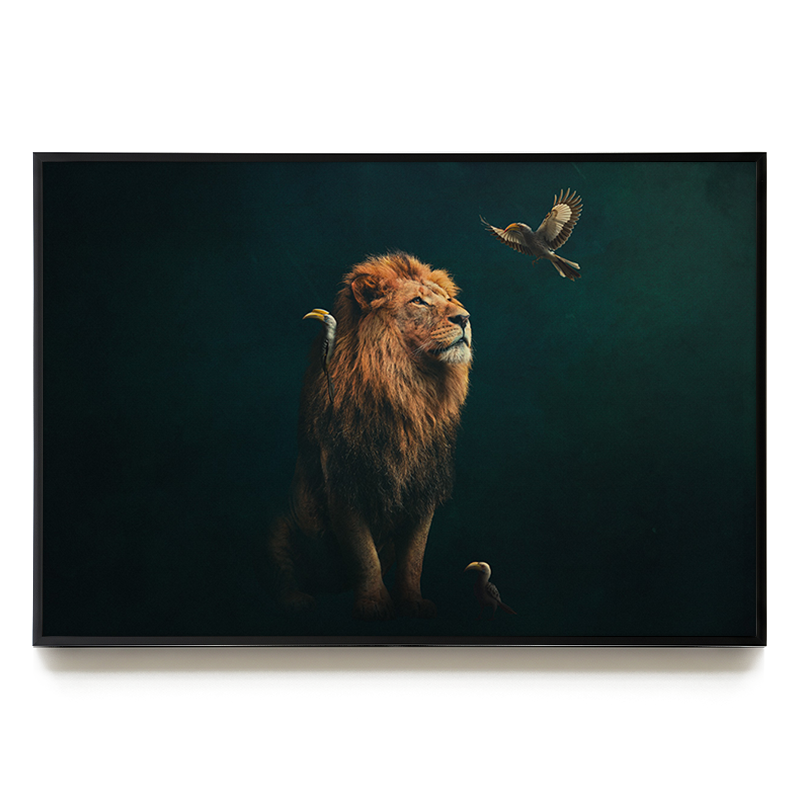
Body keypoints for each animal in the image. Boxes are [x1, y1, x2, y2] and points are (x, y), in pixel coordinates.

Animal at [268, 252, 472, 620]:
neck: (410, 389)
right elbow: (363, 555)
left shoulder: (423, 488)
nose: (464, 317)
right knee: (284, 572)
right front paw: (374, 604)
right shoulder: (345, 484)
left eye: (447, 299)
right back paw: (296, 600)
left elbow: (414, 559)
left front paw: (412, 602)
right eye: (418, 301)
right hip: (278, 525)